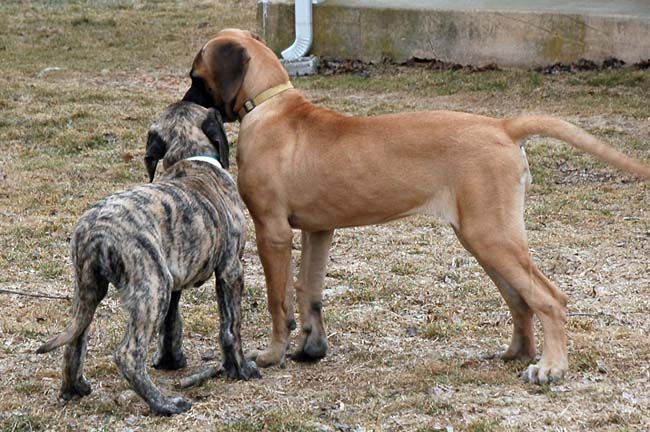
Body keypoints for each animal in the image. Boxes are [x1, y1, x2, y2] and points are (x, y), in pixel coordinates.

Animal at [36, 101, 258, 416]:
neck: (191, 159)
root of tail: (96, 231)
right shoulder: (230, 269)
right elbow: (231, 326)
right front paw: (240, 368)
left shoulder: (177, 281)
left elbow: (171, 325)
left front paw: (170, 361)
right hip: (153, 287)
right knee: (127, 354)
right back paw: (165, 404)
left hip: (89, 289)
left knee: (75, 339)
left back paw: (73, 388)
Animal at [182, 28, 648, 384]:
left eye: (195, 75)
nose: (187, 101)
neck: (270, 104)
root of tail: (502, 126)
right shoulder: (319, 229)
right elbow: (308, 290)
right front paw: (311, 348)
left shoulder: (272, 232)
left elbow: (279, 301)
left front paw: (272, 354)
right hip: (484, 236)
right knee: (520, 299)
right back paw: (517, 352)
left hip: (490, 235)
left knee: (550, 298)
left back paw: (551, 367)